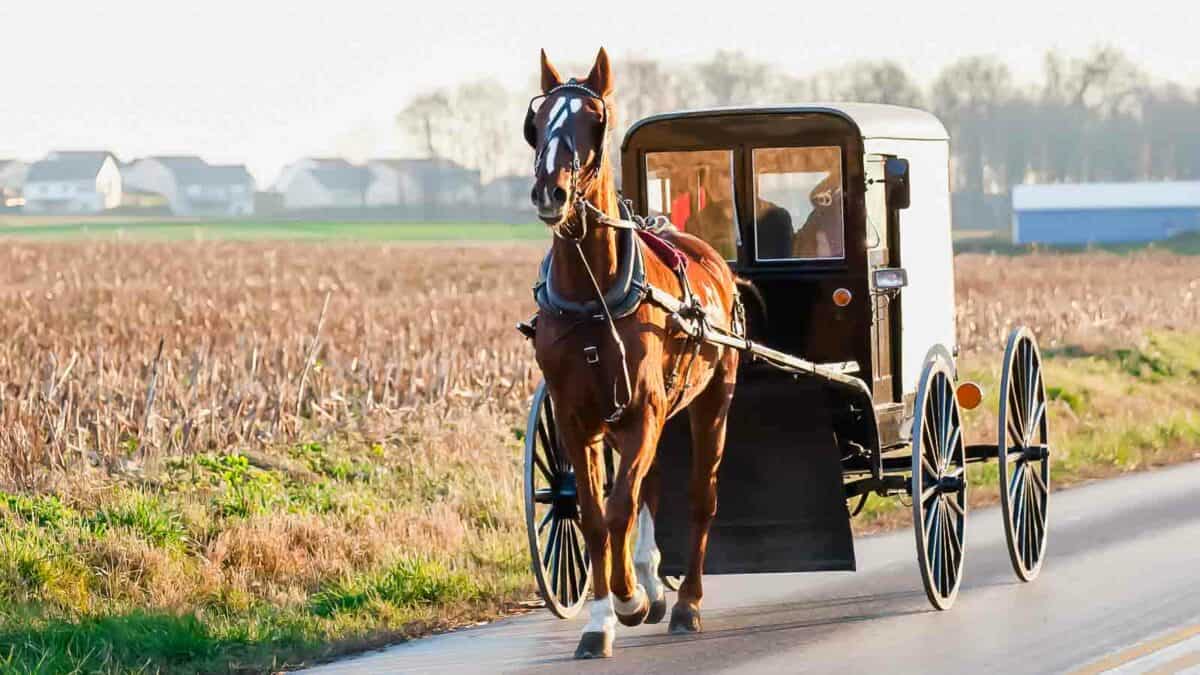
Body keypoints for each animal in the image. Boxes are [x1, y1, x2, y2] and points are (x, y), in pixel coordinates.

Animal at [528, 48, 739, 658]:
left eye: (593, 120)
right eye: (537, 122)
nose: (550, 193)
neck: (590, 294)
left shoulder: (644, 409)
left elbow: (621, 508)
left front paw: (629, 600)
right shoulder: (576, 417)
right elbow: (595, 516)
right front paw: (602, 619)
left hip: (710, 401)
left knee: (698, 496)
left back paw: (686, 602)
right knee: (651, 486)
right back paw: (652, 581)